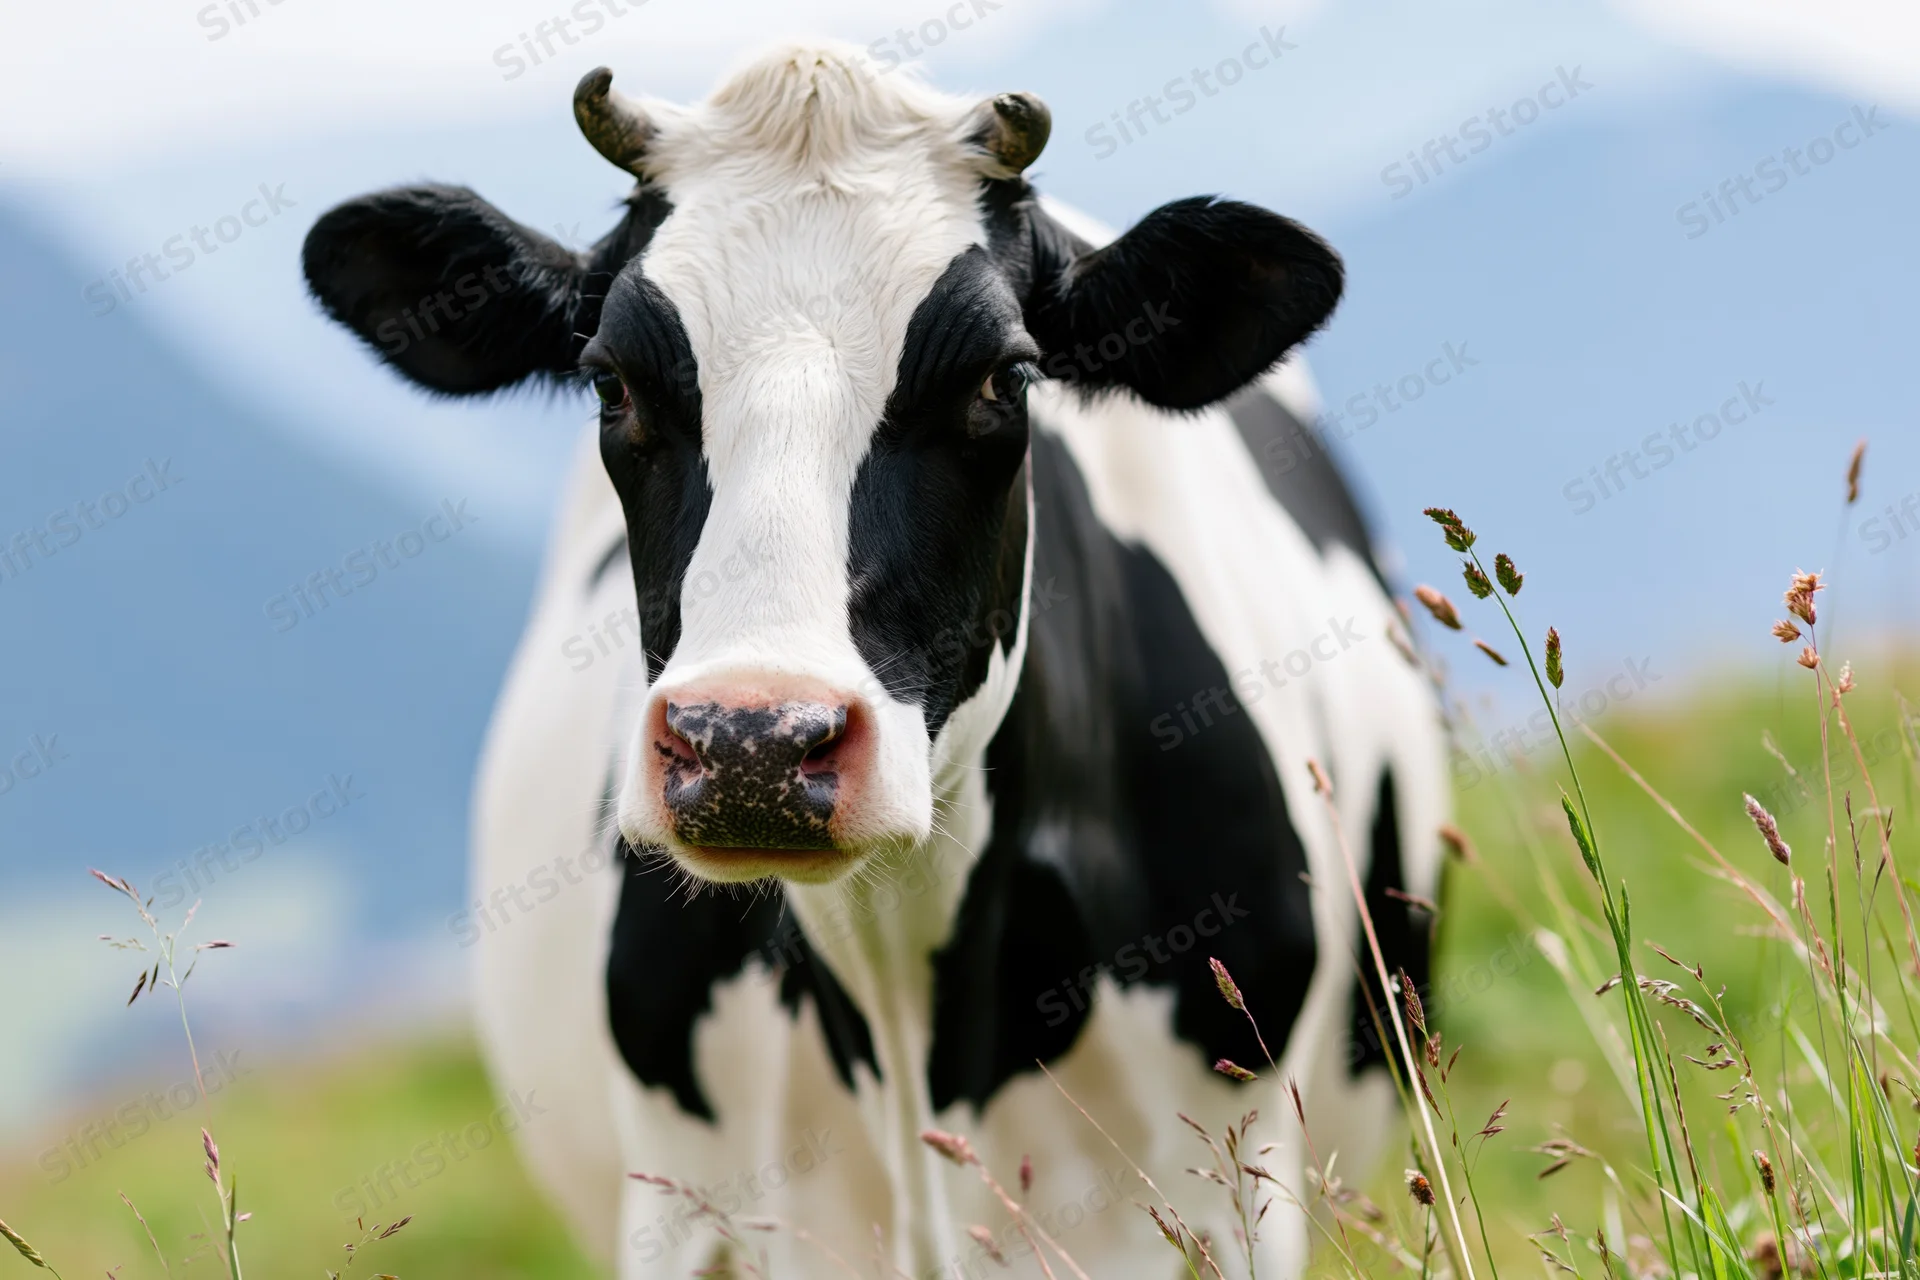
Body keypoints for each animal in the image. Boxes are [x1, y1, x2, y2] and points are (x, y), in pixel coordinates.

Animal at [302, 42, 1446, 1279]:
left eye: (1004, 378)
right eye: (612, 381)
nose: (752, 744)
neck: (907, 994)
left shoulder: (1233, 1191)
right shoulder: (684, 1208)